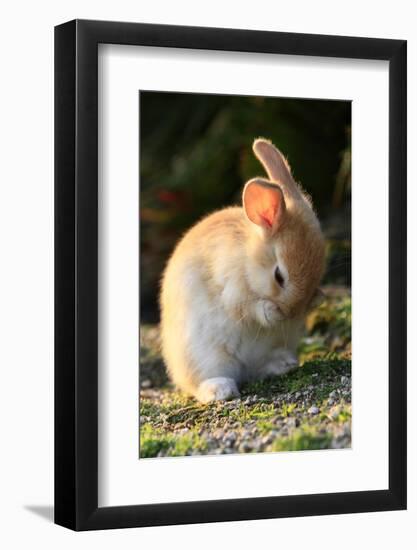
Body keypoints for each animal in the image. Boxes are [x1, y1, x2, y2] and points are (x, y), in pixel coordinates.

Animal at [159, 139, 324, 406]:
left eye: (318, 275)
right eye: (279, 276)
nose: (290, 313)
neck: (248, 258)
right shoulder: (231, 289)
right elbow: (249, 307)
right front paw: (271, 313)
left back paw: (283, 364)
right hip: (205, 357)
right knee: (202, 381)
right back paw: (220, 390)